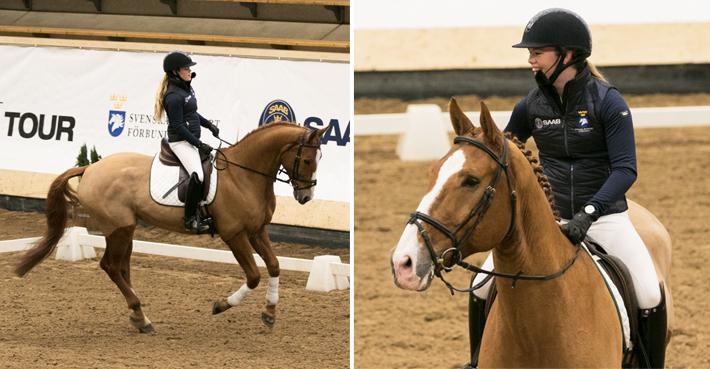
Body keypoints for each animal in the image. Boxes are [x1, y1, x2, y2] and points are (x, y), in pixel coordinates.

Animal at [15, 122, 330, 332]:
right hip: (119, 228)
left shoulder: (257, 230)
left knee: (122, 267)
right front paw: (220, 305)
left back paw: (139, 317)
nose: (305, 197)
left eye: (319, 159)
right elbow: (253, 276)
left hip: (126, 230)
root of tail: (90, 168)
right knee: (111, 266)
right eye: (306, 159)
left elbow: (275, 266)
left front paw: (269, 313)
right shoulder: (234, 234)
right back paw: (141, 318)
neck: (244, 175)